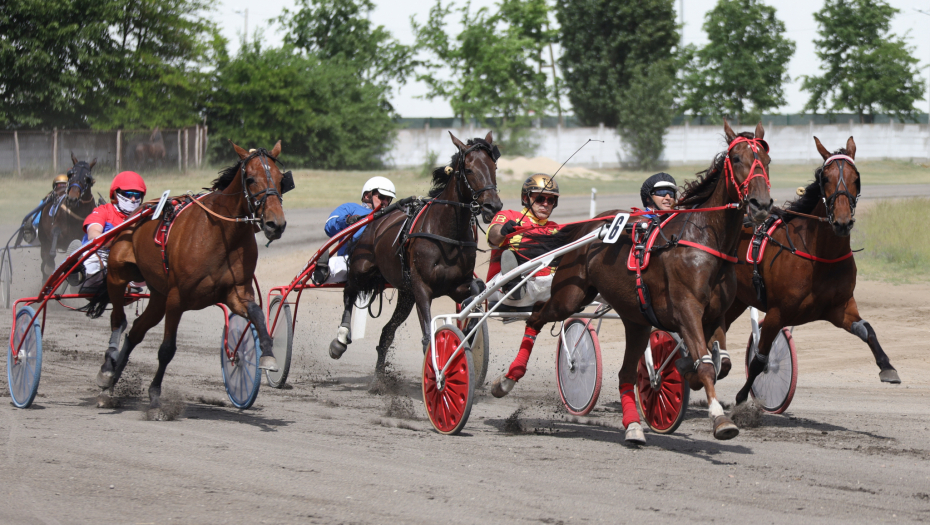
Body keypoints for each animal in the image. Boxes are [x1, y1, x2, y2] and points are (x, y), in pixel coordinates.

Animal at [88, 139, 290, 410]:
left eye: (281, 179)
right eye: (250, 179)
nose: (275, 224)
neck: (223, 234)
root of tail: (133, 216)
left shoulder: (236, 294)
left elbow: (257, 315)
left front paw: (267, 355)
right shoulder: (177, 298)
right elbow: (167, 349)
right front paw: (155, 395)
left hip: (159, 295)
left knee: (136, 331)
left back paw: (111, 383)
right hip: (118, 275)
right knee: (118, 320)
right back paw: (107, 372)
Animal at [326, 133, 500, 374]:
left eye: (494, 166)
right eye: (470, 169)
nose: (493, 206)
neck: (446, 234)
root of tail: (375, 219)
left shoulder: (456, 285)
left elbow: (477, 289)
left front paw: (467, 327)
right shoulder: (421, 288)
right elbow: (428, 336)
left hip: (405, 294)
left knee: (386, 332)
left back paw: (380, 377)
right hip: (363, 268)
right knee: (349, 291)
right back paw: (340, 339)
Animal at [516, 122, 768, 438]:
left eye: (767, 159)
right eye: (736, 158)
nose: (761, 204)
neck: (704, 242)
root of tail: (587, 227)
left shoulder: (715, 315)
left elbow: (722, 362)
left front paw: (686, 369)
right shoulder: (687, 310)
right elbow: (708, 365)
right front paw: (720, 419)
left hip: (636, 319)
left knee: (626, 373)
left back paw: (634, 427)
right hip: (570, 296)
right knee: (536, 316)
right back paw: (507, 379)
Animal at [724, 135, 900, 406]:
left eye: (856, 177)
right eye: (824, 178)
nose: (842, 222)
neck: (822, 257)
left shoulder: (839, 309)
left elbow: (867, 329)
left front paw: (887, 367)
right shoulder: (776, 313)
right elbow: (759, 362)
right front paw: (743, 397)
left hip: (737, 301)